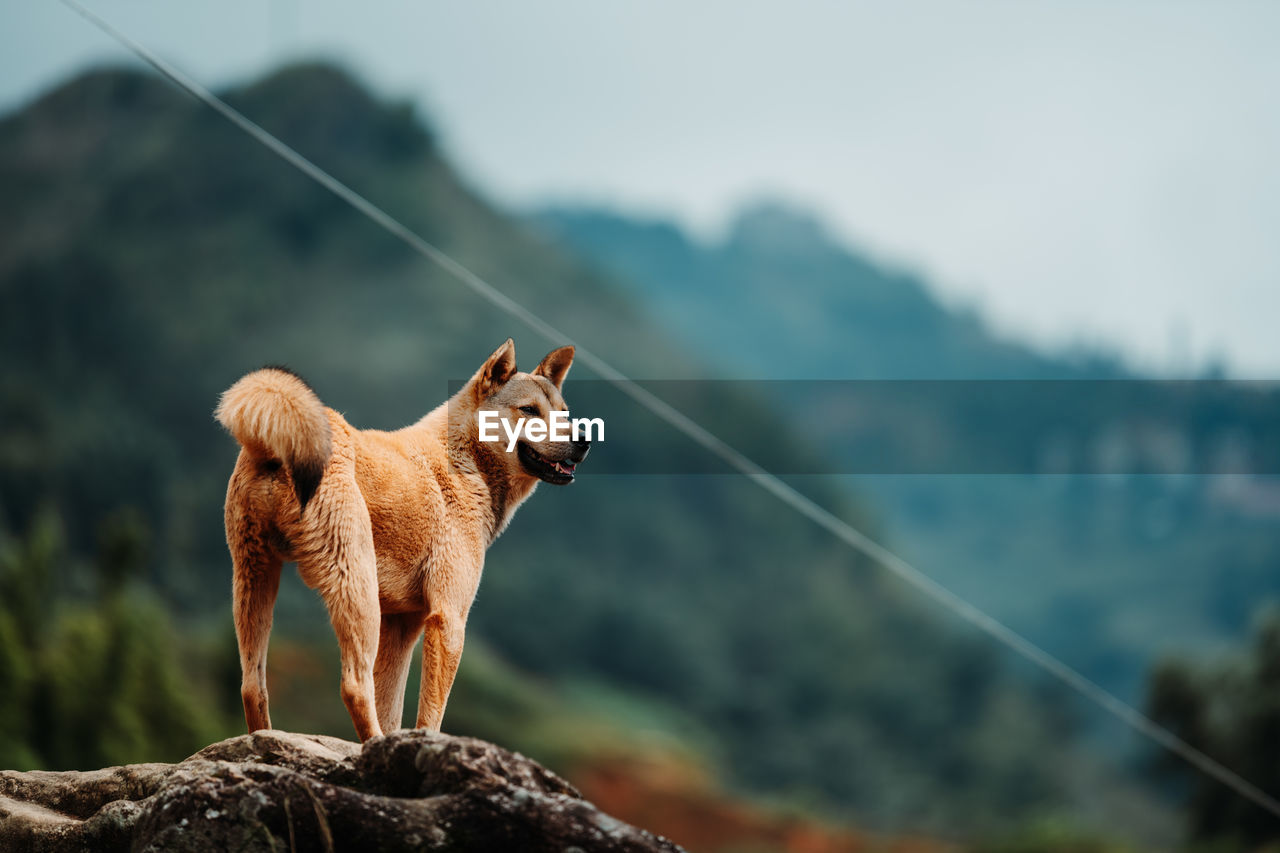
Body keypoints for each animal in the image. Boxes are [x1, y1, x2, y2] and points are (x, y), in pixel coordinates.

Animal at [213, 338, 586, 737]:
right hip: (357, 590)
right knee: (353, 686)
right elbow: (430, 715)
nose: (584, 440)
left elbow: (391, 707)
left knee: (252, 686)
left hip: (254, 578)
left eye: (564, 412)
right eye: (529, 410)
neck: (465, 462)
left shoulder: (403, 624)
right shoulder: (448, 618)